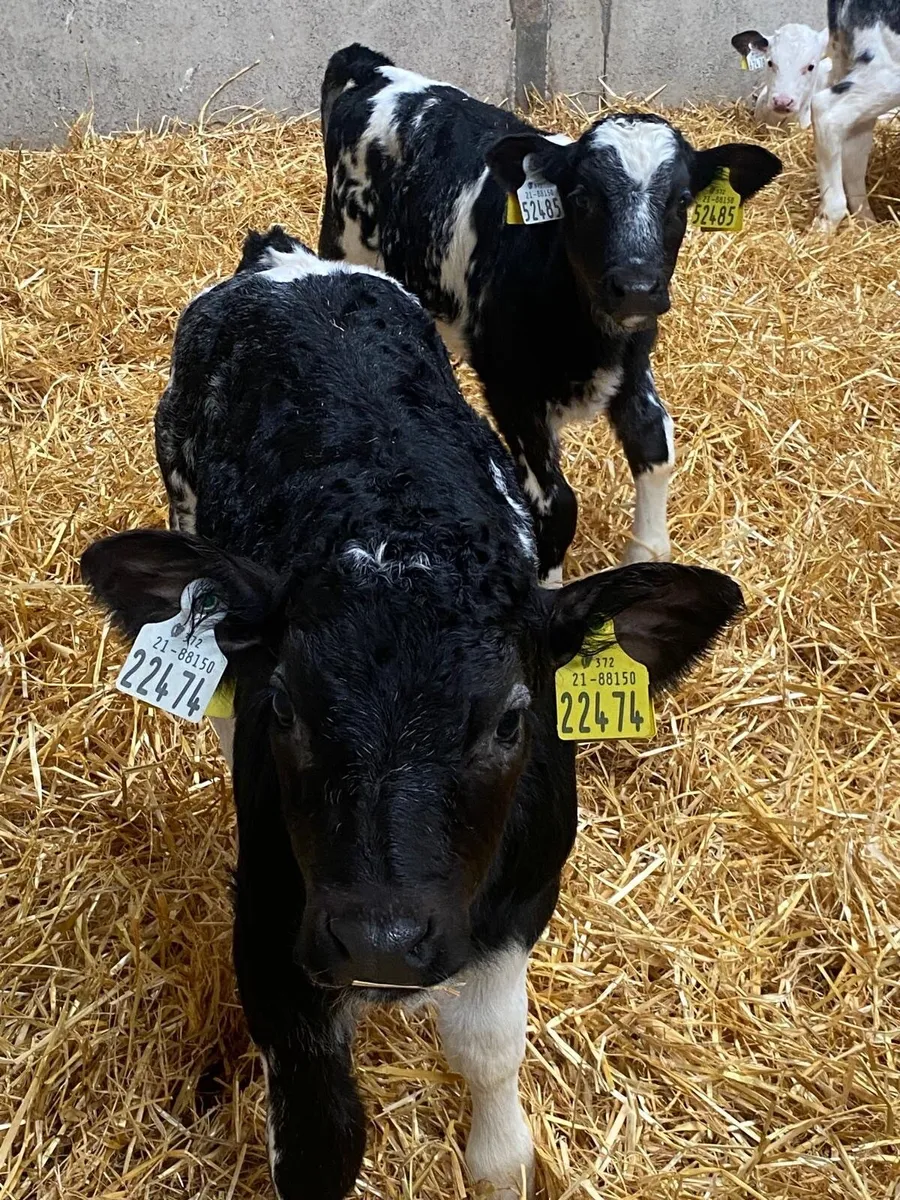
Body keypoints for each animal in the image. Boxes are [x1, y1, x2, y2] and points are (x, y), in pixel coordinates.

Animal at [80, 228, 745, 1200]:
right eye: (284, 706)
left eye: (512, 719)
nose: (381, 941)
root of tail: (280, 258)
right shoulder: (274, 928)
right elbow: (319, 1139)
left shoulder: (520, 902)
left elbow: (489, 1055)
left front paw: (499, 1156)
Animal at [318, 44, 782, 585]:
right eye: (580, 197)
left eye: (682, 201)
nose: (637, 289)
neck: (586, 340)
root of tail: (371, 67)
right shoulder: (511, 390)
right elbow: (555, 503)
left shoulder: (633, 364)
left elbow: (655, 448)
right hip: (343, 241)